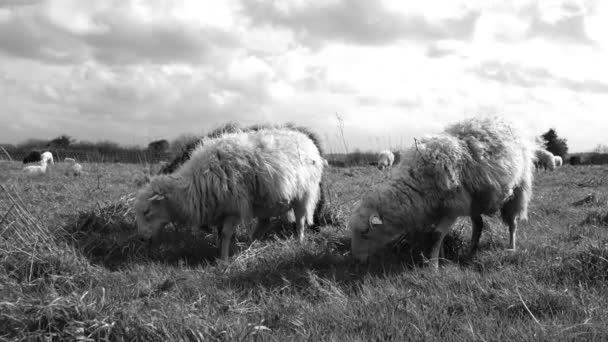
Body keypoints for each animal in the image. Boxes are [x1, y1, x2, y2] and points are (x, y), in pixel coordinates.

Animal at [133, 127, 326, 260]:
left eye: (147, 212)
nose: (141, 239)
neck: (194, 185)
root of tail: (307, 140)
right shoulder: (222, 208)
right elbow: (223, 234)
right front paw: (226, 251)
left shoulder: (233, 207)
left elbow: (226, 234)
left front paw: (223, 259)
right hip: (267, 201)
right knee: (264, 223)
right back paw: (250, 243)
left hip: (303, 195)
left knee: (300, 221)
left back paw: (299, 242)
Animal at [350, 117, 536, 270]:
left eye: (365, 233)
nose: (357, 261)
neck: (415, 181)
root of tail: (504, 121)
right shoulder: (439, 209)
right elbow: (440, 236)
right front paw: (442, 259)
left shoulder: (453, 207)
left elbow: (436, 234)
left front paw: (433, 266)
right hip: (474, 201)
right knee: (479, 224)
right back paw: (470, 251)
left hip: (518, 190)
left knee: (512, 223)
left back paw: (511, 247)